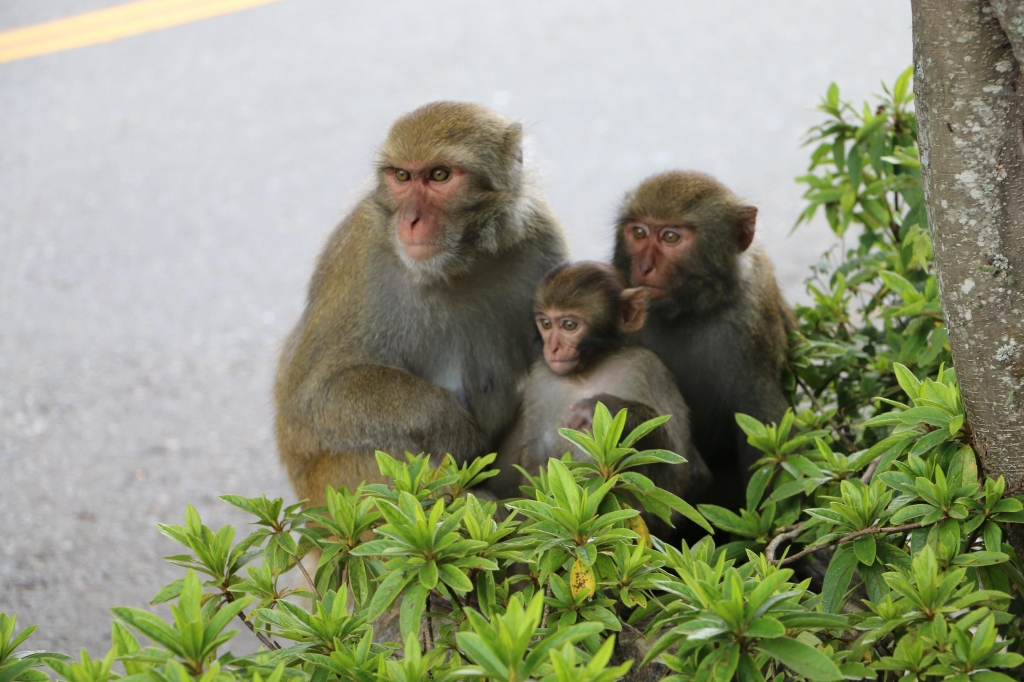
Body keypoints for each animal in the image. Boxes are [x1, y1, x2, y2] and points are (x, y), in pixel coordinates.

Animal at [274, 100, 569, 503]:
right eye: (402, 176)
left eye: (439, 175)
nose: (410, 220)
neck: (456, 266)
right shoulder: (359, 255)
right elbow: (311, 399)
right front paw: (446, 422)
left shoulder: (543, 242)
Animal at [489, 260, 712, 536]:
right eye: (546, 323)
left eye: (569, 325)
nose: (552, 348)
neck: (587, 372)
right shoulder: (541, 379)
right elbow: (539, 464)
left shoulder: (647, 367)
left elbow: (675, 473)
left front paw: (607, 407)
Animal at [606, 169, 790, 509]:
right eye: (638, 232)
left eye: (671, 238)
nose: (645, 267)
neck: (688, 311)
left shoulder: (751, 320)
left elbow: (765, 429)